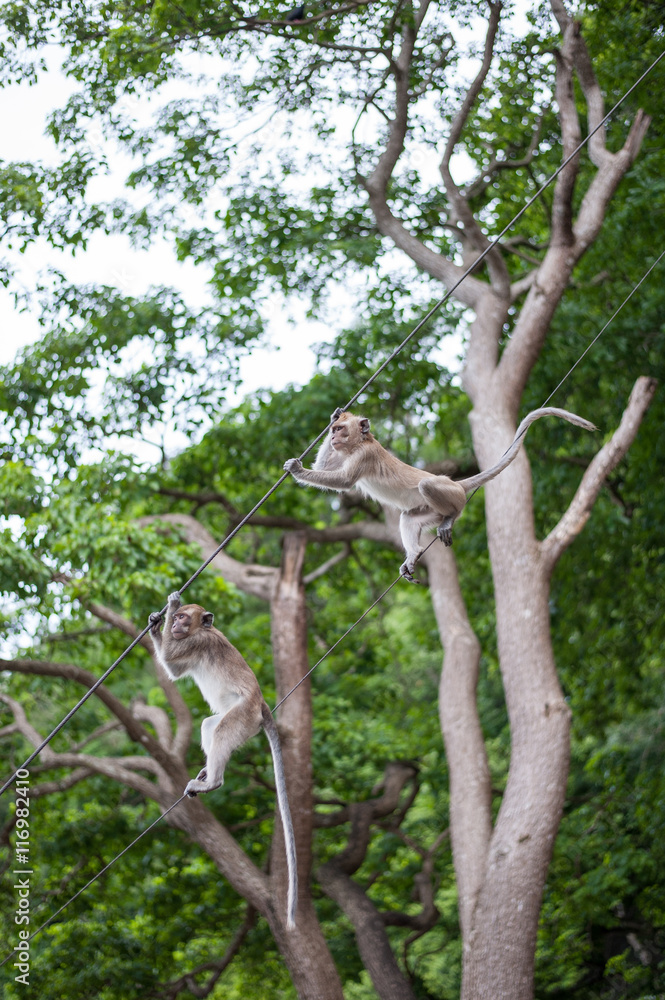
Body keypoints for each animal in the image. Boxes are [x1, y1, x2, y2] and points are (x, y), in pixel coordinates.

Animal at [149, 593, 297, 929]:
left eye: (182, 617)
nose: (173, 624)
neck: (199, 631)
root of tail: (261, 705)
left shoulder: (196, 643)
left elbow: (170, 659)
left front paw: (168, 607)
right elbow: (173, 670)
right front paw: (154, 621)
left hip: (241, 717)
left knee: (221, 731)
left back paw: (213, 781)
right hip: (241, 723)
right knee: (209, 726)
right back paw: (206, 773)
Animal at [284, 407, 596, 581]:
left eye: (340, 430)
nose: (333, 436)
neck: (360, 443)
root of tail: (457, 484)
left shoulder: (364, 456)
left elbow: (344, 480)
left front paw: (296, 469)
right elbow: (324, 468)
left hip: (449, 492)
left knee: (427, 486)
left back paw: (451, 518)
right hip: (428, 510)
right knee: (409, 518)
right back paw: (413, 555)